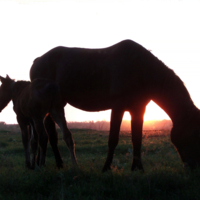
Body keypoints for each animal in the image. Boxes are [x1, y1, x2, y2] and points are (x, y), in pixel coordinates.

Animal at [29, 39, 200, 171]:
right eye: (193, 133)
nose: (192, 167)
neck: (141, 69)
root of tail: (37, 60)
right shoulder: (118, 107)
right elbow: (113, 139)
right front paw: (106, 168)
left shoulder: (138, 109)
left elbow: (137, 139)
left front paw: (137, 168)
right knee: (51, 135)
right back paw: (58, 164)